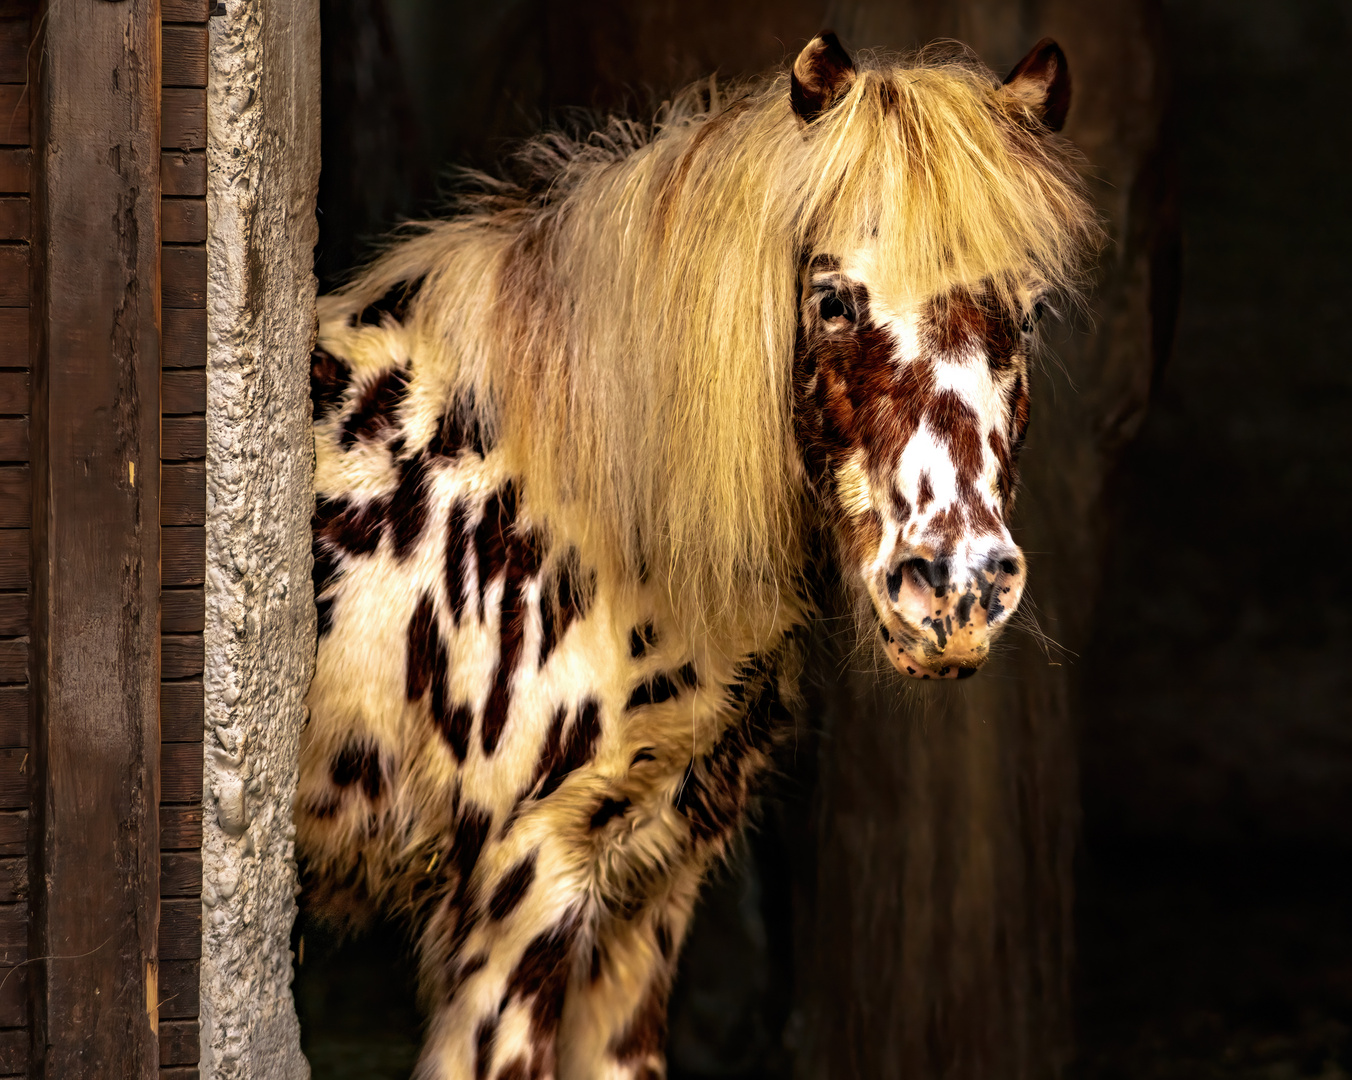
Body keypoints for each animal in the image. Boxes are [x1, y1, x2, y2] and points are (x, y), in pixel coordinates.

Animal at [296, 33, 1097, 1080]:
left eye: (1029, 316)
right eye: (833, 300)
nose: (956, 589)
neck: (581, 490)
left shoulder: (649, 893)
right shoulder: (523, 891)